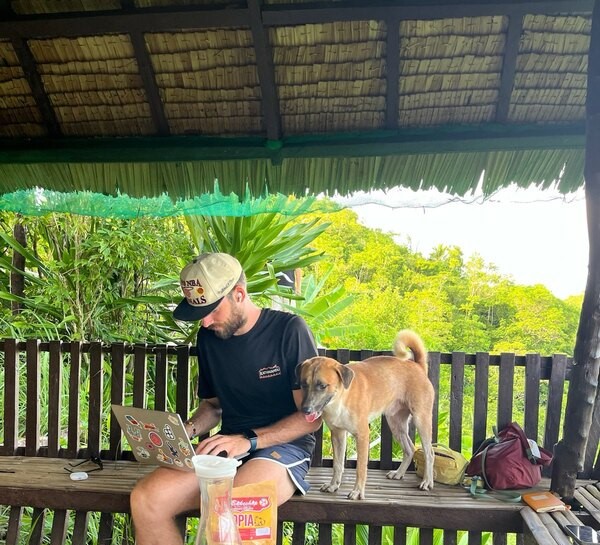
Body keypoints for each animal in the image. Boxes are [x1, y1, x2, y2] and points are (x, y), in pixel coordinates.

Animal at [298, 330, 434, 500]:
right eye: (303, 384)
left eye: (322, 385)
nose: (305, 410)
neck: (341, 397)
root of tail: (417, 366)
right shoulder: (337, 434)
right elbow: (337, 464)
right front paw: (333, 485)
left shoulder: (362, 435)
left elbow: (360, 468)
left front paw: (357, 491)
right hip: (396, 423)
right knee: (409, 449)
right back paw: (399, 473)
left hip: (421, 420)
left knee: (429, 453)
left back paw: (427, 482)